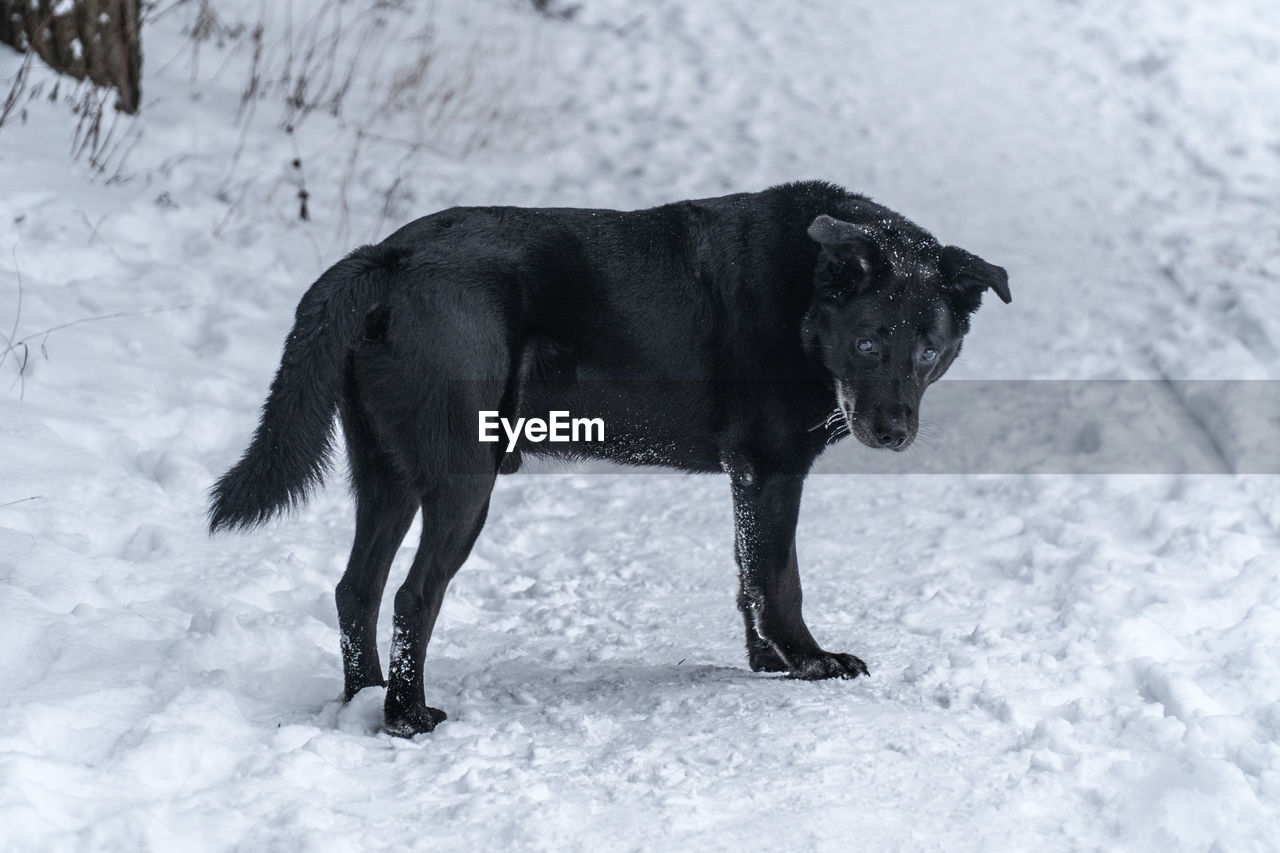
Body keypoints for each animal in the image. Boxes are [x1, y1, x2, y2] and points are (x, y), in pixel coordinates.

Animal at [209, 180, 1008, 737]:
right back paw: (407, 718)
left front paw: (766, 664)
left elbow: (748, 573)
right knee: (413, 595)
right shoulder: (772, 468)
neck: (804, 295)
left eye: (929, 351)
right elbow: (781, 578)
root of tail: (389, 256)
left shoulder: (747, 477)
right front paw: (810, 662)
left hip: (388, 474)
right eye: (870, 344)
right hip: (462, 479)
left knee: (356, 589)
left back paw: (365, 702)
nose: (894, 431)